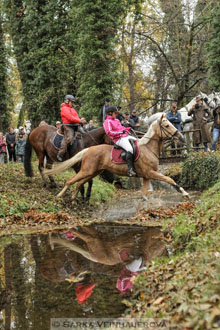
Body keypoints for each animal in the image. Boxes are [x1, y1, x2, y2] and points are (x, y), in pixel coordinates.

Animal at [44, 114, 189, 200]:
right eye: (167, 125)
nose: (182, 137)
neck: (148, 149)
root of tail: (88, 149)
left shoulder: (146, 176)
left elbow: (144, 195)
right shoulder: (150, 173)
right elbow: (169, 179)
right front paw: (184, 192)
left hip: (93, 172)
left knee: (80, 182)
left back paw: (74, 198)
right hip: (87, 170)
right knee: (70, 181)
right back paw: (60, 195)